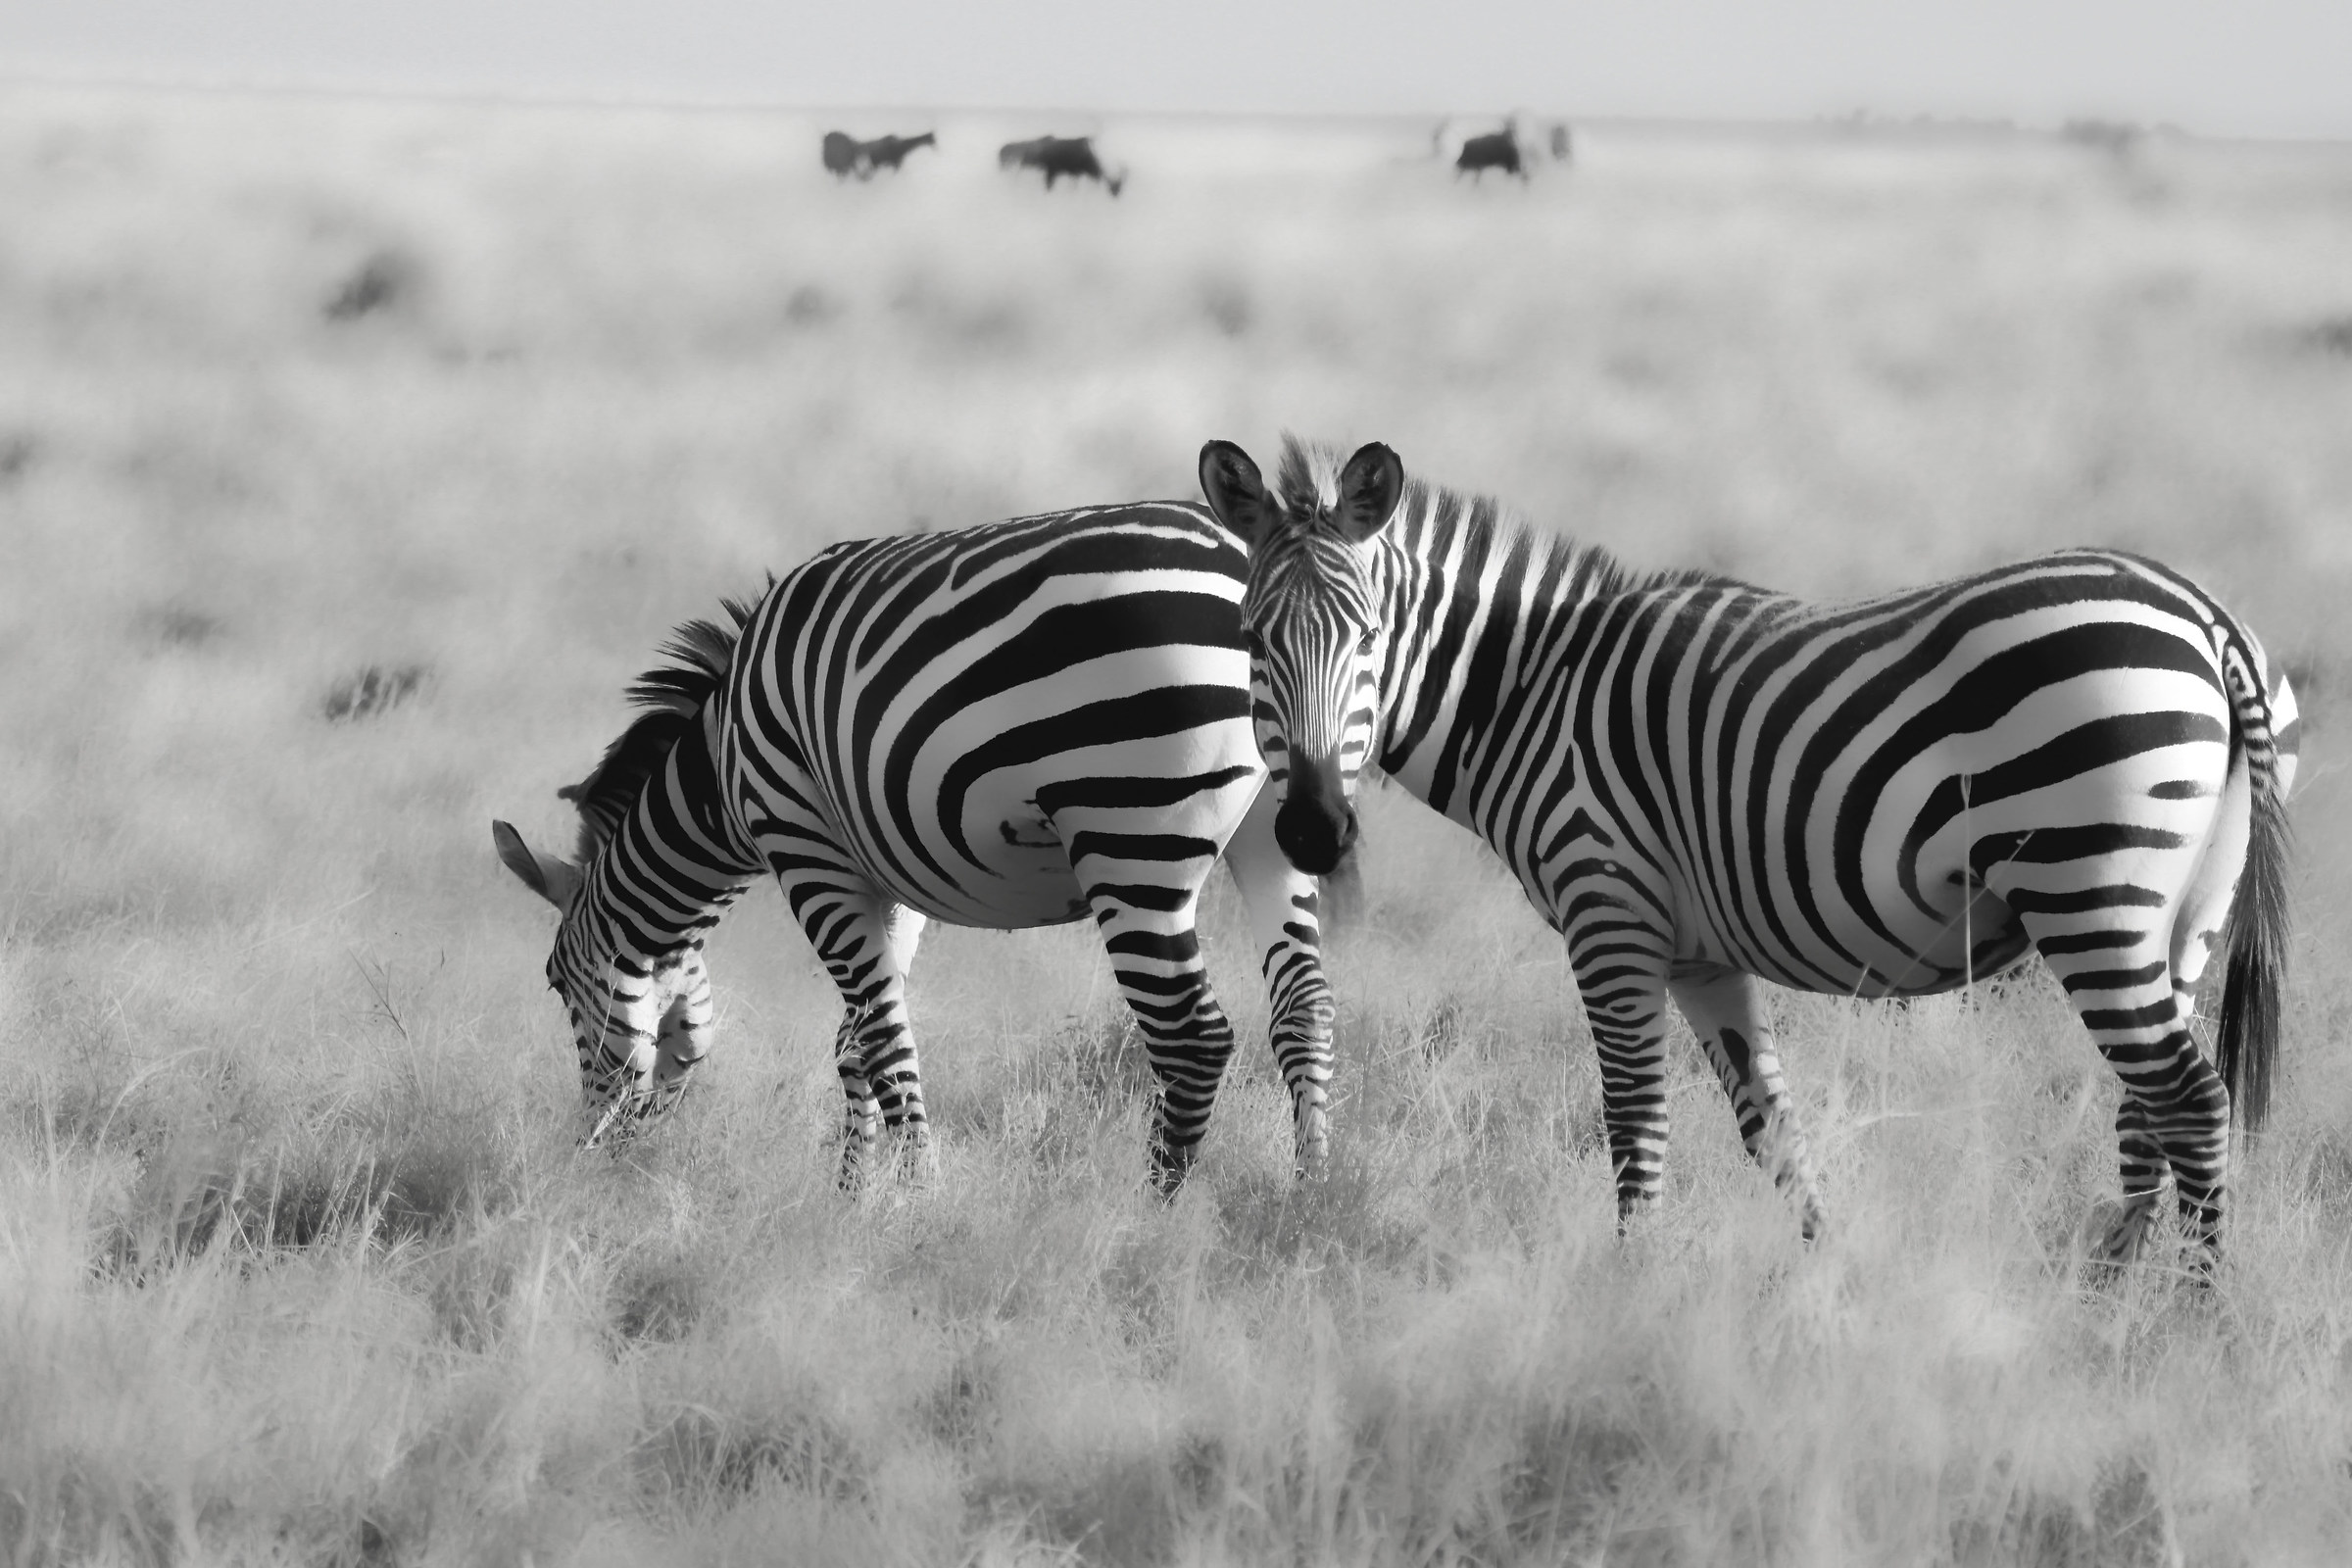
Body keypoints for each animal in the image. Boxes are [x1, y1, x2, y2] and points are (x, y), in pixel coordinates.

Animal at [492, 501, 1340, 1193]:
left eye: (555, 986)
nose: (590, 1153)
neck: (722, 767)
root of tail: (1237, 557)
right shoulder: (886, 878)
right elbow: (856, 1041)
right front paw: (853, 1196)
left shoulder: (807, 850)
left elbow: (881, 1032)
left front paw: (917, 1199)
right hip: (1275, 822)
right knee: (1305, 1006)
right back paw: (1310, 1194)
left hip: (1128, 831)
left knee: (1191, 1037)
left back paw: (1154, 1211)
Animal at [1198, 435, 2297, 1267]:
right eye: (1251, 641)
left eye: (1367, 637)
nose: (1310, 829)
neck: (1530, 689)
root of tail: (2204, 616)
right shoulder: (1698, 953)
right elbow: (1769, 1124)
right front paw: (1829, 1280)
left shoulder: (1608, 912)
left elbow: (1634, 1114)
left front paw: (1633, 1287)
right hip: (2181, 913)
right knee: (2150, 1103)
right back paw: (2111, 1294)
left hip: (2088, 886)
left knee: (2188, 1097)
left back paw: (2197, 1316)